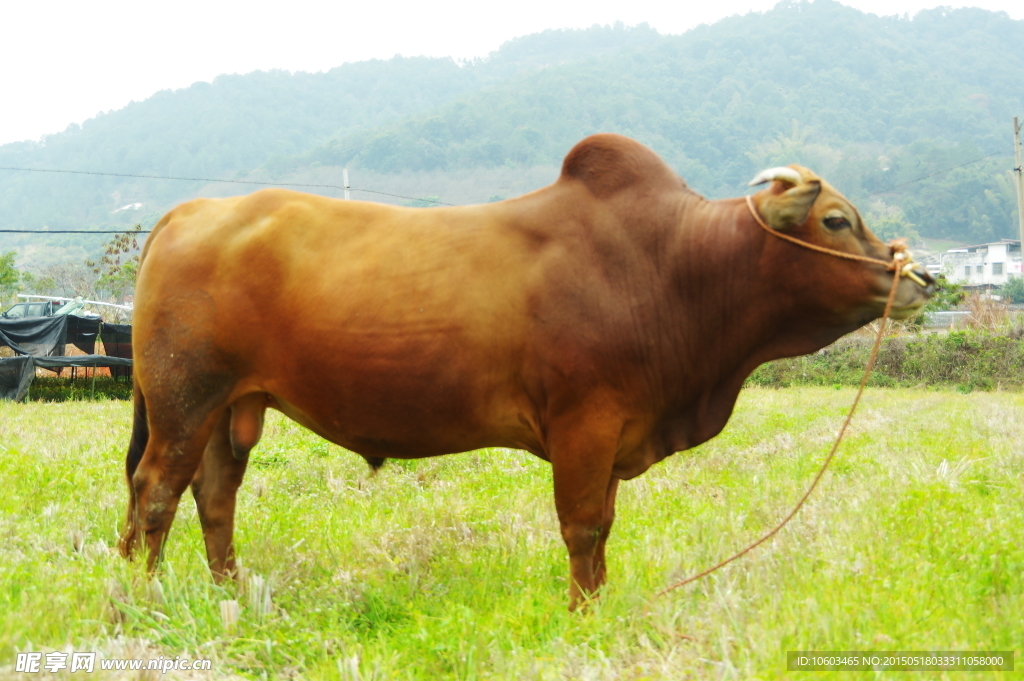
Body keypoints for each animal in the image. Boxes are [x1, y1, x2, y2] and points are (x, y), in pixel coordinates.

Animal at [117, 131, 929, 606]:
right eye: (835, 220)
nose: (919, 279)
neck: (672, 265)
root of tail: (191, 210)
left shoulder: (613, 435)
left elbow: (603, 529)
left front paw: (600, 605)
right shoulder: (584, 426)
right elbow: (582, 528)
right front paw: (582, 615)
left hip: (230, 408)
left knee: (213, 497)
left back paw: (230, 595)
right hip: (184, 400)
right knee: (155, 492)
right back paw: (139, 598)